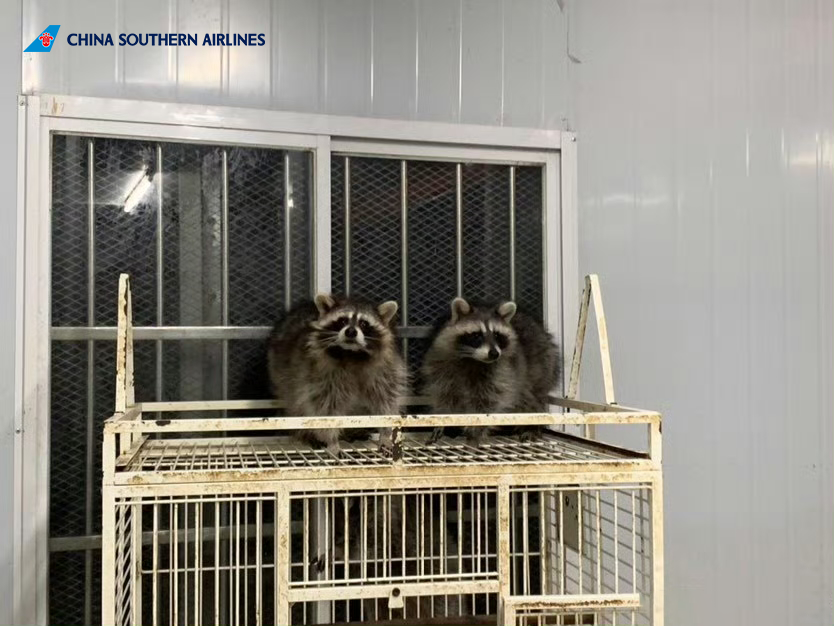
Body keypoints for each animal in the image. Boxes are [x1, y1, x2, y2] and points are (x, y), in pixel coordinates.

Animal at [267, 293, 407, 455]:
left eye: (364, 324)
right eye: (342, 321)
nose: (351, 332)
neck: (351, 354)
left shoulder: (385, 370)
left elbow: (385, 402)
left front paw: (385, 433)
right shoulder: (322, 375)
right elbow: (326, 409)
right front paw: (331, 440)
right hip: (281, 372)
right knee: (295, 401)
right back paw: (306, 432)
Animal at [422, 297, 560, 444]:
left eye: (497, 335)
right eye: (476, 335)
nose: (494, 354)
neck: (473, 359)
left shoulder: (503, 372)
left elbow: (490, 401)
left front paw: (477, 428)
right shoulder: (442, 368)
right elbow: (445, 396)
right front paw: (442, 421)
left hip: (542, 366)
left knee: (531, 397)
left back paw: (532, 426)